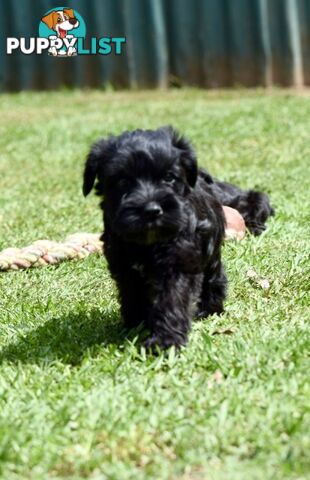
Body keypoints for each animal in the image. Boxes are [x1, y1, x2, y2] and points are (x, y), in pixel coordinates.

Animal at [83, 126, 274, 348]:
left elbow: (172, 300)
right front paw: (135, 325)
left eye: (169, 177)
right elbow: (132, 295)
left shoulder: (179, 263)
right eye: (122, 181)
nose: (151, 210)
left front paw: (164, 341)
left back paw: (210, 308)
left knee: (214, 276)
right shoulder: (124, 265)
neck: (147, 243)